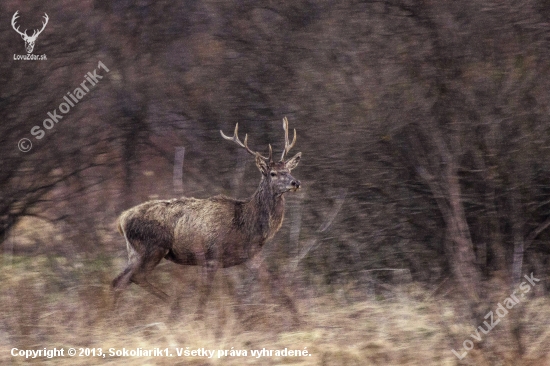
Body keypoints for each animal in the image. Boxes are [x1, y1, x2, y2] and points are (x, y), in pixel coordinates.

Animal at [112, 117, 302, 320]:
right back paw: (173, 306)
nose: (295, 182)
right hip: (152, 247)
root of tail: (121, 220)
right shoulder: (211, 255)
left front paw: (298, 316)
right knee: (134, 277)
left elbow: (275, 282)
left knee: (119, 281)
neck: (247, 225)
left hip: (135, 252)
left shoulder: (250, 255)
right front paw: (198, 319)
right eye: (273, 173)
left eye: (288, 170)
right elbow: (203, 296)